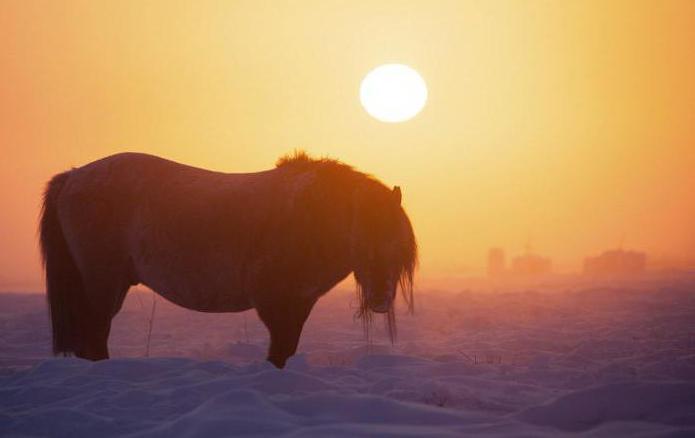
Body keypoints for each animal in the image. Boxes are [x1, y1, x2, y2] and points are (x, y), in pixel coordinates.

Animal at [39, 152, 418, 368]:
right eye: (364, 242)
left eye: (398, 246)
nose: (381, 301)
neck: (306, 213)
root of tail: (74, 176)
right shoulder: (274, 300)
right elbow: (280, 349)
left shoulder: (300, 302)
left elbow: (288, 347)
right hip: (103, 283)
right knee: (95, 333)